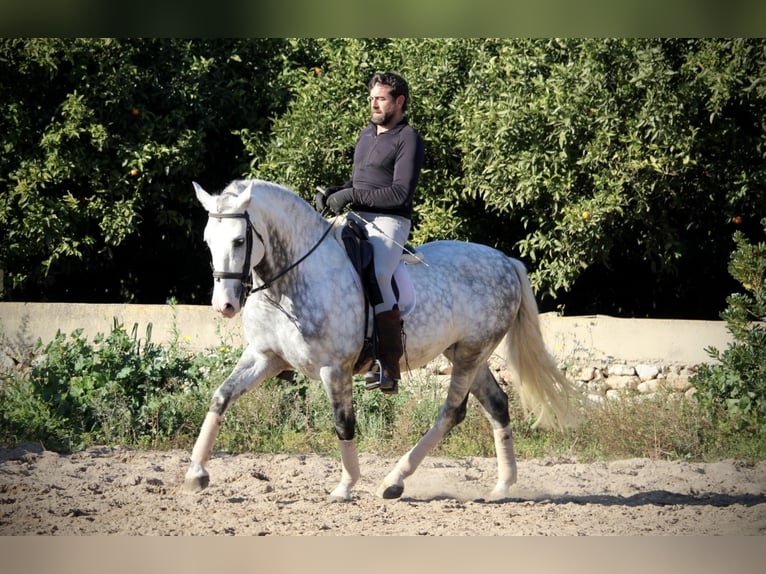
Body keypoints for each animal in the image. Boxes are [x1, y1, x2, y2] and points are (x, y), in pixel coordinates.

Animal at [186, 180, 580, 504]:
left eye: (239, 241)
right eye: (207, 241)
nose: (224, 305)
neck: (290, 281)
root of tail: (505, 260)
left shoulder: (334, 368)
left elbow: (343, 423)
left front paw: (345, 486)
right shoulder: (263, 356)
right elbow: (220, 397)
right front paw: (195, 474)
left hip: (472, 351)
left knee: (452, 411)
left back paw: (394, 480)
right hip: (466, 353)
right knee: (496, 404)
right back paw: (502, 486)